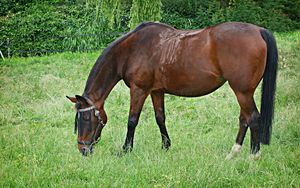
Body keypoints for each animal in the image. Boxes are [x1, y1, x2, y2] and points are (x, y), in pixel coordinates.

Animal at [67, 21, 278, 158]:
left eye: (86, 118)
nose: (83, 150)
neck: (131, 50)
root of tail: (259, 30)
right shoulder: (156, 91)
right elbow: (160, 118)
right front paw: (166, 146)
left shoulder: (139, 90)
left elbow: (132, 120)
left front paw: (126, 149)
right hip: (244, 92)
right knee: (244, 119)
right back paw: (233, 153)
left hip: (242, 91)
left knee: (253, 118)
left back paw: (253, 155)